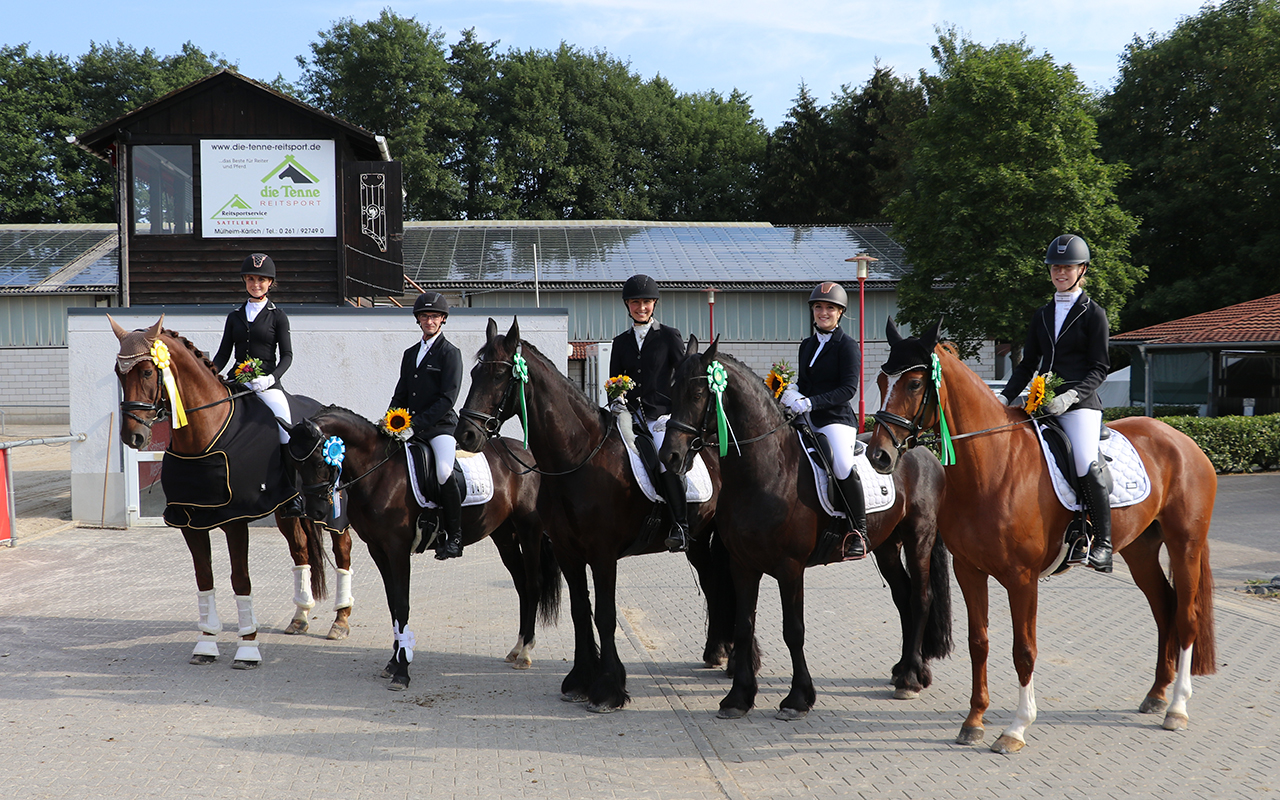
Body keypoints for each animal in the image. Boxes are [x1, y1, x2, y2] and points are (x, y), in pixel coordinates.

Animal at [113, 314, 355, 665]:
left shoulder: (235, 520)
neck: (203, 437)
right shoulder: (189, 522)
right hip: (286, 510)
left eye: (146, 371)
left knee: (343, 550)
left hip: (332, 508)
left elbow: (240, 580)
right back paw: (299, 617)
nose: (132, 437)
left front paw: (248, 648)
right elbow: (205, 579)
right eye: (119, 373)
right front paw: (205, 644)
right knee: (300, 551)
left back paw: (341, 619)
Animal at [290, 404, 560, 686]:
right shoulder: (378, 550)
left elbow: (402, 604)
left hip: (529, 530)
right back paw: (517, 648)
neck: (378, 472)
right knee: (521, 584)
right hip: (504, 535)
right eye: (295, 464)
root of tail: (527, 454)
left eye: (319, 462)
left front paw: (402, 671)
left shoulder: (397, 549)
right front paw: (393, 662)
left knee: (533, 584)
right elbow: (393, 604)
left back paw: (526, 652)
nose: (315, 511)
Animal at [458, 318, 737, 711]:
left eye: (499, 375)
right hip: (697, 539)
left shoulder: (604, 555)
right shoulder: (568, 552)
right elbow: (580, 612)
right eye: (473, 373)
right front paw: (580, 680)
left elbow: (605, 615)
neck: (579, 458)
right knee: (713, 583)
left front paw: (608, 689)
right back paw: (717, 651)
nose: (465, 434)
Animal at [660, 337, 952, 716]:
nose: (669, 457)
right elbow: (743, 625)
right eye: (671, 390)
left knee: (920, 597)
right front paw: (738, 697)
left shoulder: (790, 567)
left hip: (919, 538)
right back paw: (904, 670)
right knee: (903, 596)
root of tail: (922, 450)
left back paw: (912, 678)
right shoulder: (742, 565)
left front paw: (799, 697)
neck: (765, 471)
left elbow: (793, 630)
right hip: (887, 545)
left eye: (697, 393)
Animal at [865, 316, 1213, 747]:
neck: (992, 466)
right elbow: (978, 642)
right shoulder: (969, 571)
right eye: (881, 381)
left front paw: (1016, 727)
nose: (878, 456)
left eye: (914, 384)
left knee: (1186, 617)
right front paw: (974, 720)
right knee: (1164, 607)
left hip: (1185, 546)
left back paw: (1177, 708)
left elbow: (1024, 650)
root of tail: (1184, 441)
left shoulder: (1022, 578)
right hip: (1141, 551)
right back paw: (1156, 694)